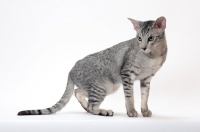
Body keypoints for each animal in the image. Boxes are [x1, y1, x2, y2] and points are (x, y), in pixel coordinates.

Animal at [18, 16, 167, 116]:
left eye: (151, 38)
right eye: (139, 38)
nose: (143, 47)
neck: (153, 56)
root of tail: (70, 70)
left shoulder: (146, 78)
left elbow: (144, 97)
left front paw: (145, 111)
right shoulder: (127, 74)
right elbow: (130, 96)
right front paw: (131, 112)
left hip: (104, 87)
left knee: (78, 93)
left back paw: (87, 108)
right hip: (103, 87)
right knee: (91, 105)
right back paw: (103, 111)